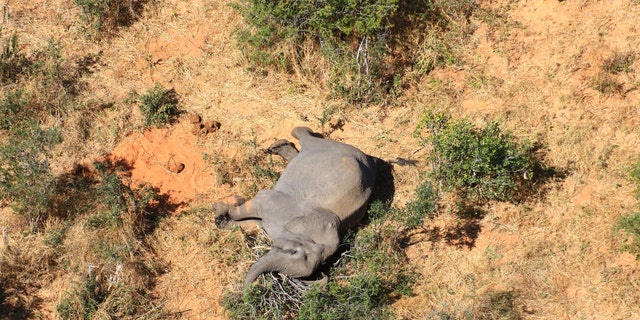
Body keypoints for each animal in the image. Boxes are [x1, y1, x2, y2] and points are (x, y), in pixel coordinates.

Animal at [215, 126, 378, 284]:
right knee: (305, 137)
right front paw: (226, 206)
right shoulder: (276, 204)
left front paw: (222, 217)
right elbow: (249, 208)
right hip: (327, 146)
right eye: (293, 252)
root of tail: (366, 157)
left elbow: (253, 223)